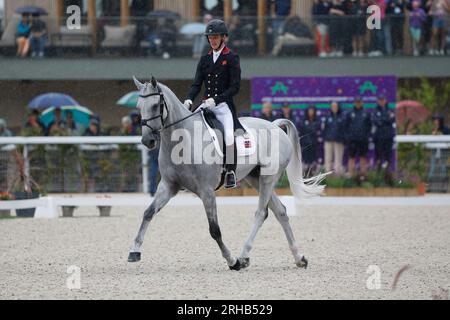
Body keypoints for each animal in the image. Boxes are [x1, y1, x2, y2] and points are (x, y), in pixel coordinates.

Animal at [126, 77, 326, 270]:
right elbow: (148, 213)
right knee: (281, 212)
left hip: (269, 178)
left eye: (155, 105)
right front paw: (134, 251)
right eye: (138, 107)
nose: (147, 140)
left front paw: (232, 261)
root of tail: (275, 126)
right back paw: (299, 258)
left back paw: (243, 256)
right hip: (255, 178)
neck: (183, 140)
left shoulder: (206, 191)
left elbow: (214, 229)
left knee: (261, 213)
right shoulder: (168, 185)